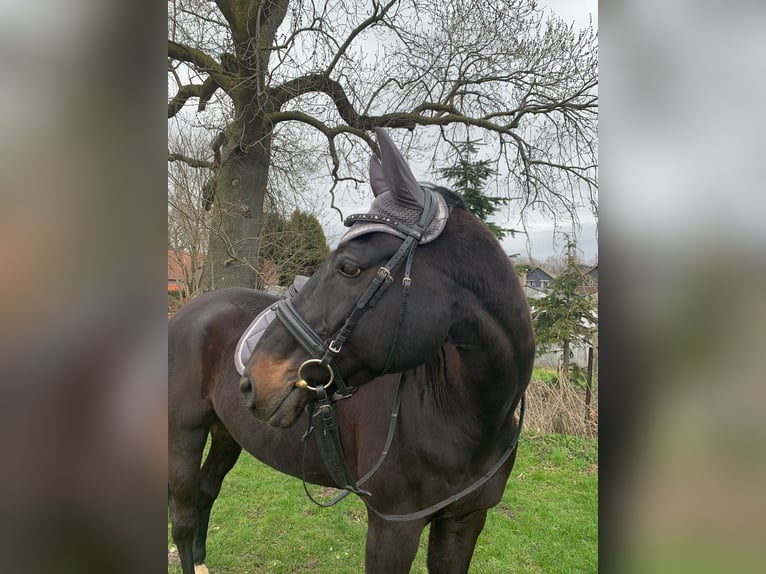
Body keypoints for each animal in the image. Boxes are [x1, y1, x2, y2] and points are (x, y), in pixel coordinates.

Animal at [170, 128, 536, 572]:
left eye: (349, 267)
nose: (254, 380)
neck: (464, 411)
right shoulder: (392, 528)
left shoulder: (465, 520)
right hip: (183, 436)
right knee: (183, 519)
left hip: (226, 432)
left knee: (207, 492)